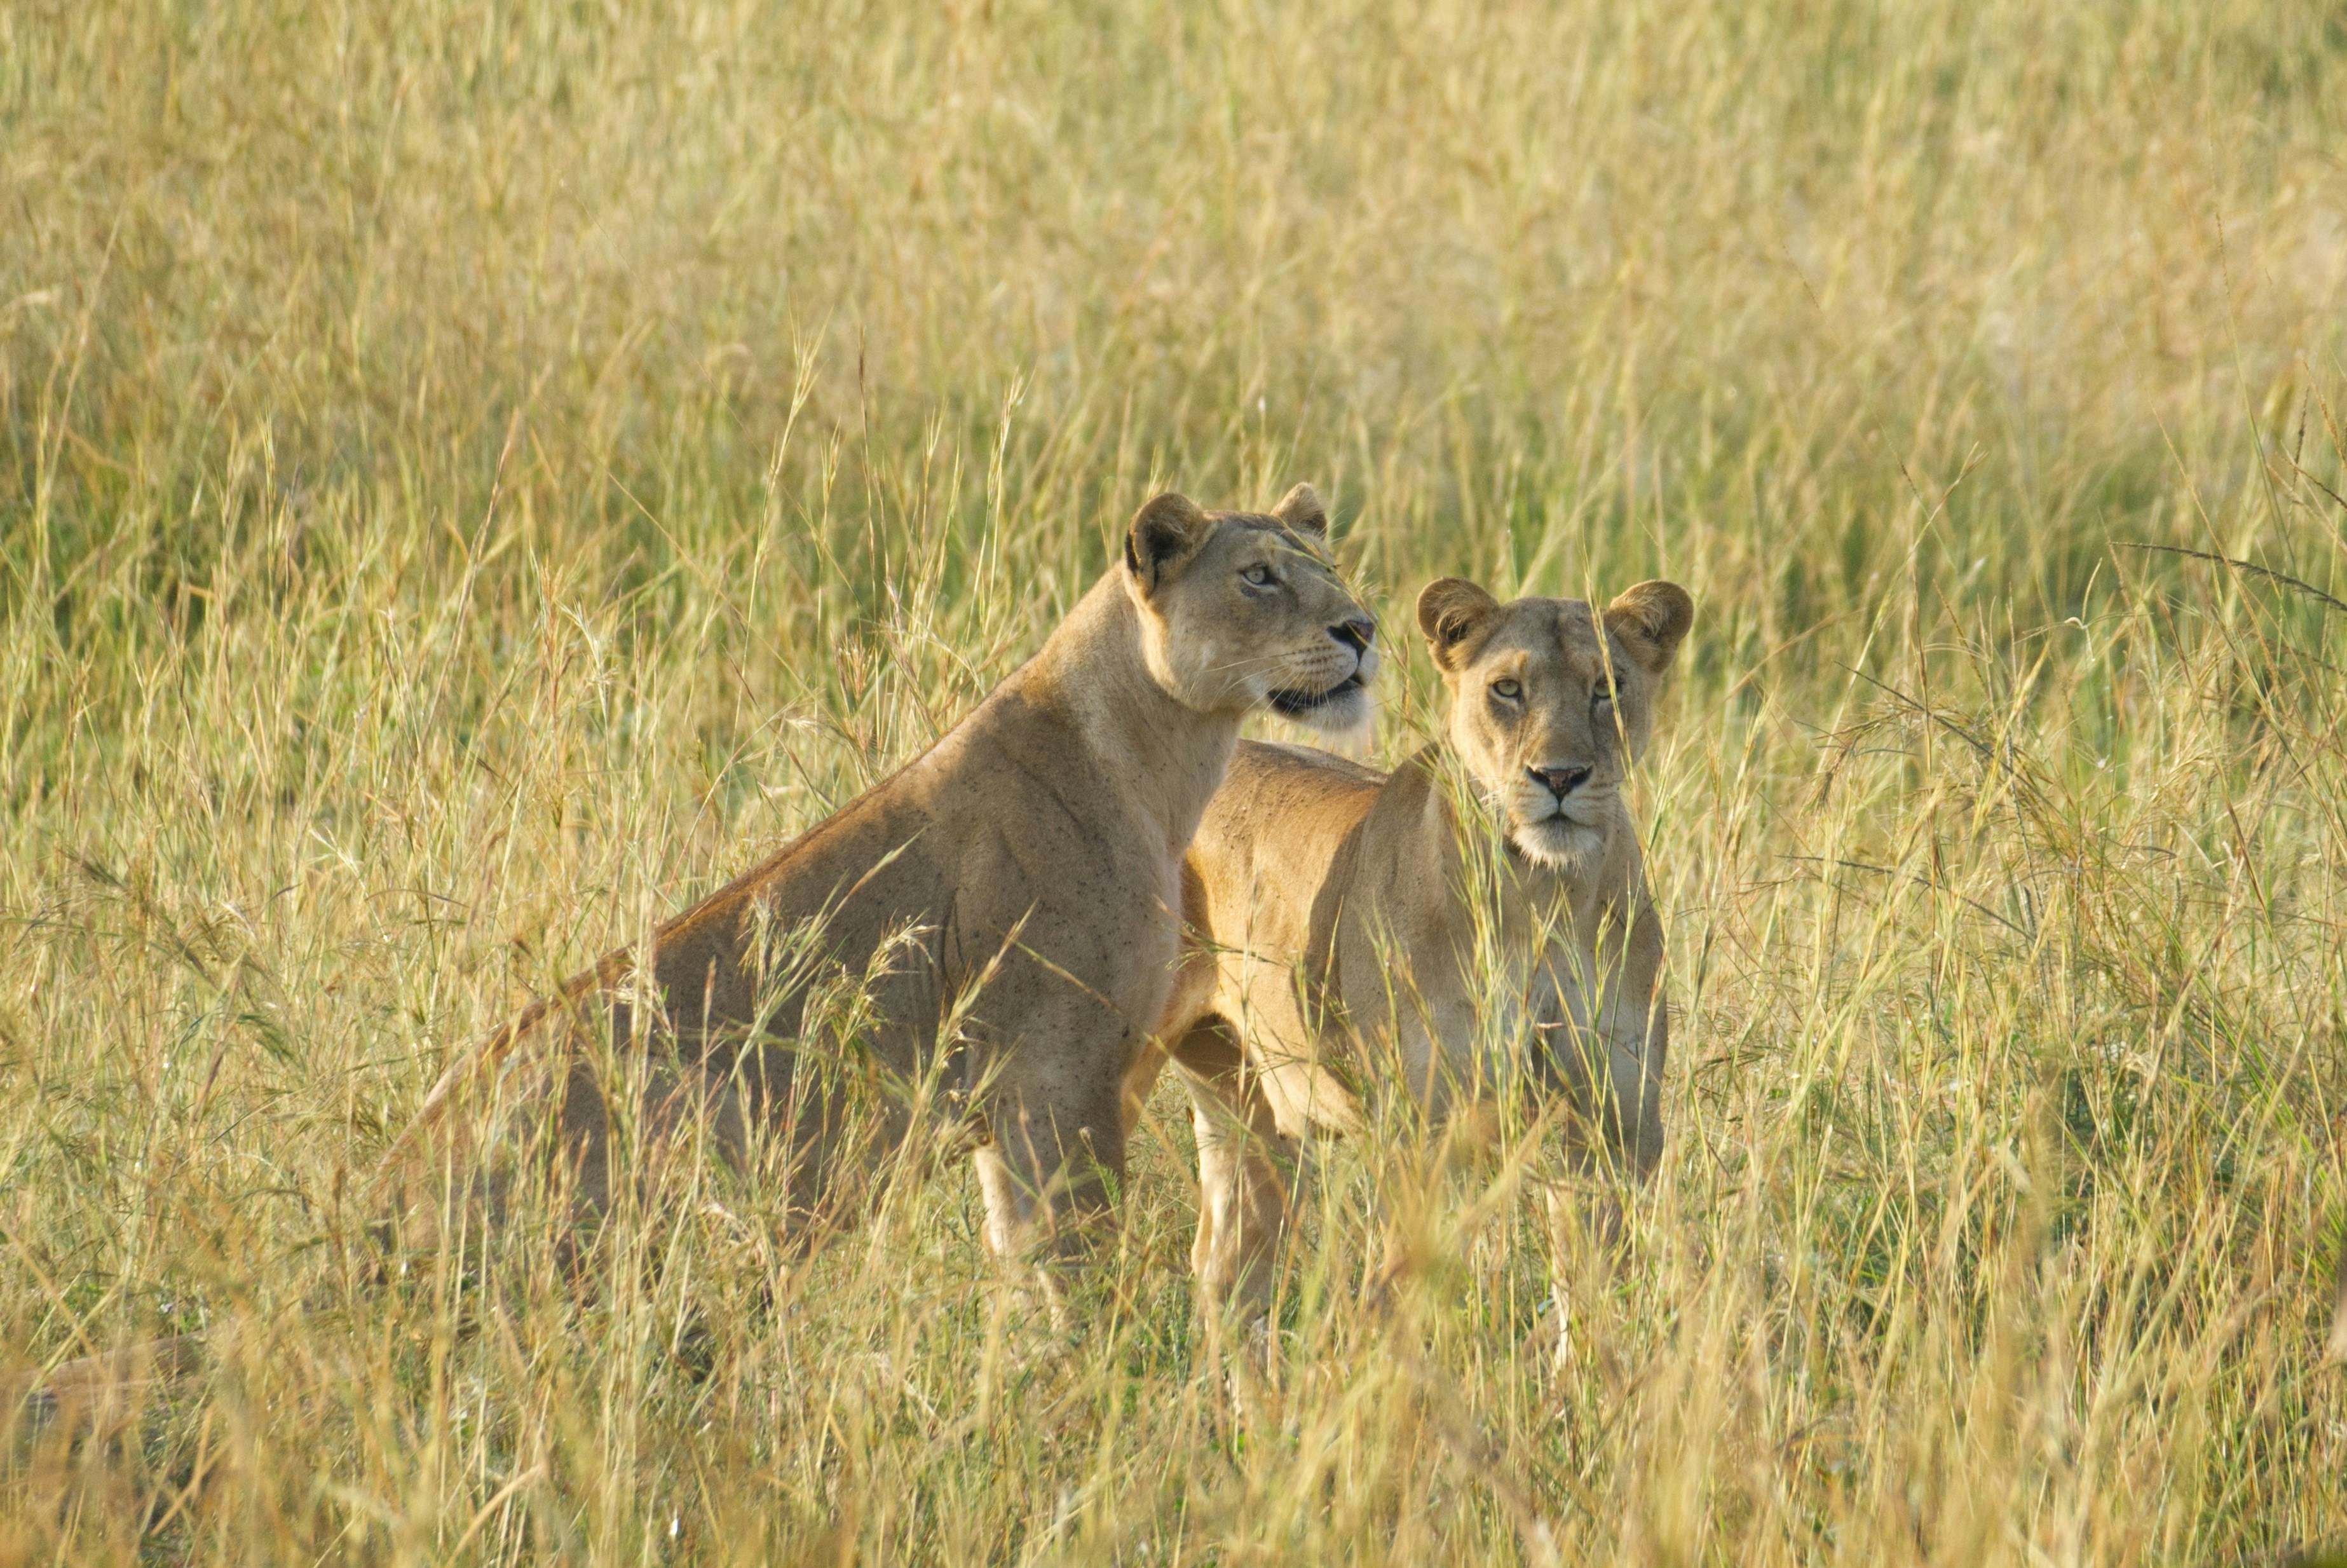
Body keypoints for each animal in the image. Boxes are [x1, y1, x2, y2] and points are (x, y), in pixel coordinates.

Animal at [1134, 576, 1693, 1310]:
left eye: (1607, 686)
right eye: (1507, 689)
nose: (1559, 777)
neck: (1543, 893)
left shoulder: (1614, 1129)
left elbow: (1594, 1290)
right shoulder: (1417, 1136)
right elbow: (1402, 1289)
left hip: (1248, 1103)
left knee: (1230, 1265)